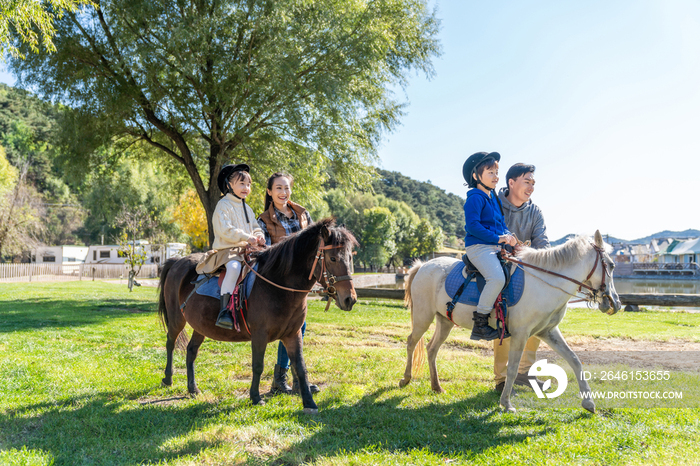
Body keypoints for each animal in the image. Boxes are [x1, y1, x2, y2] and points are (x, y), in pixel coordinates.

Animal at [157, 218, 358, 412]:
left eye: (349, 257)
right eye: (332, 258)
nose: (350, 299)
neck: (276, 285)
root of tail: (177, 261)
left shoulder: (293, 334)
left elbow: (300, 367)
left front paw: (309, 402)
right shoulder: (259, 335)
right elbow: (258, 365)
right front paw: (255, 397)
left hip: (201, 325)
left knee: (191, 350)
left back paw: (192, 388)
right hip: (177, 319)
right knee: (170, 343)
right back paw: (167, 378)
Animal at [402, 229, 620, 412]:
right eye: (611, 265)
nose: (615, 303)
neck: (544, 284)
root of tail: (423, 266)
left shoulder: (548, 332)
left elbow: (575, 360)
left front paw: (589, 402)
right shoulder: (520, 335)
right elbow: (512, 369)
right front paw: (506, 403)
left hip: (445, 321)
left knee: (432, 349)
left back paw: (436, 386)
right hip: (423, 317)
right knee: (412, 342)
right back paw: (406, 379)